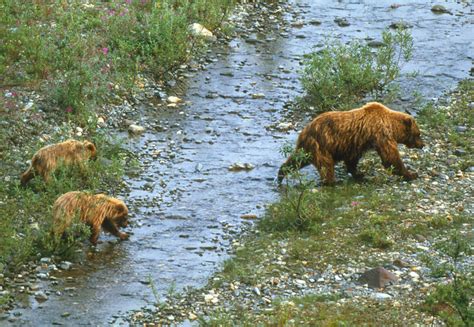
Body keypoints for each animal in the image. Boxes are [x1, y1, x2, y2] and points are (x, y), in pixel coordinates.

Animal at [276, 102, 424, 184]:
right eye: (418, 134)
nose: (422, 145)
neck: (391, 125)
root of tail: (304, 131)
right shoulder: (380, 134)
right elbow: (390, 157)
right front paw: (411, 174)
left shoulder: (355, 143)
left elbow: (352, 159)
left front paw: (358, 174)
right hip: (321, 145)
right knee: (326, 165)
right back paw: (331, 182)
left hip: (307, 148)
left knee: (297, 160)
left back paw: (281, 173)